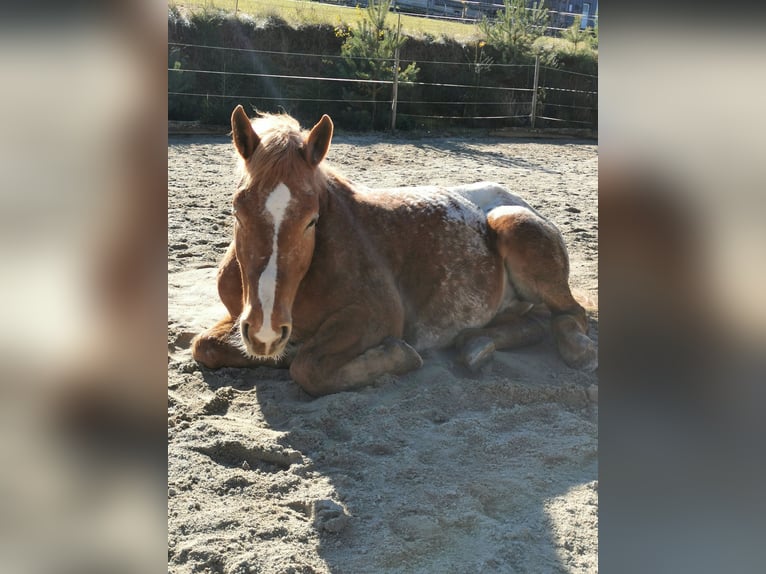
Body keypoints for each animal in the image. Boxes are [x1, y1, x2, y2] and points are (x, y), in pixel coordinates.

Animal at [192, 104, 600, 396]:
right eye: (237, 211)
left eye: (311, 220)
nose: (265, 332)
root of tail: (518, 201)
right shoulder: (239, 316)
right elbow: (204, 346)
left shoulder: (376, 316)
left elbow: (307, 368)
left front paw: (397, 355)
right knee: (531, 324)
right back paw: (475, 346)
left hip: (517, 230)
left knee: (570, 314)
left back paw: (577, 350)